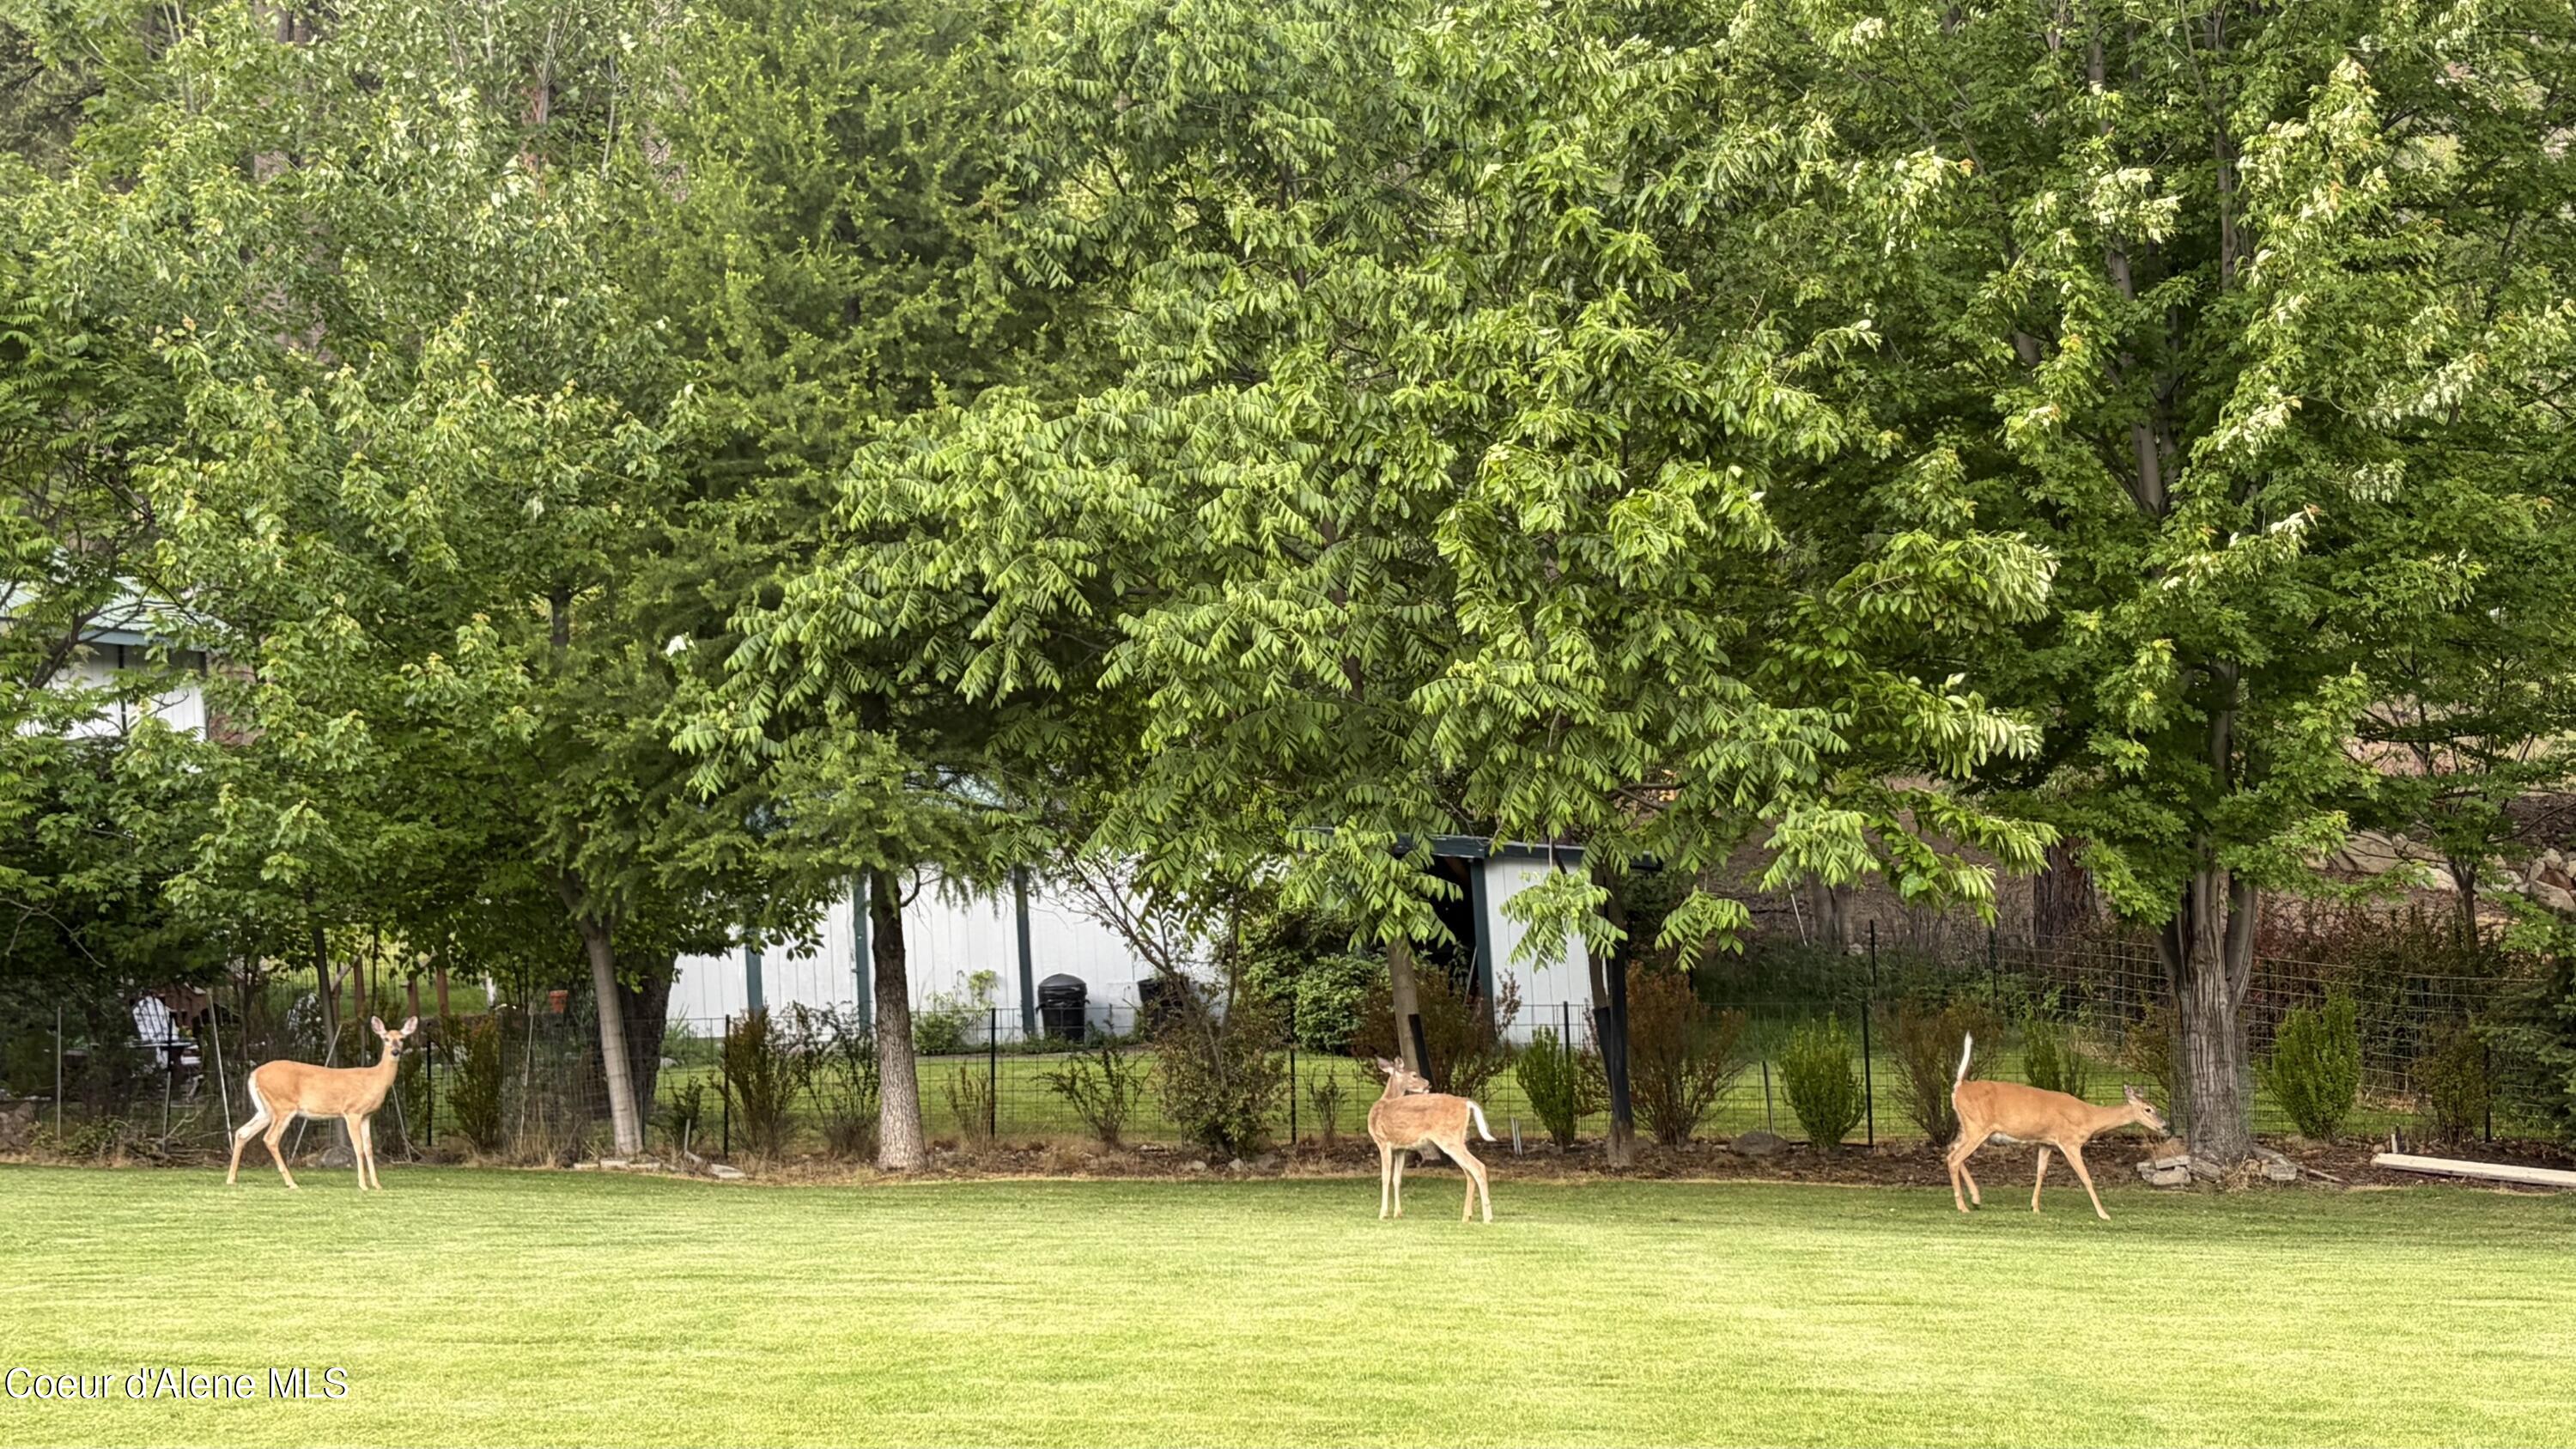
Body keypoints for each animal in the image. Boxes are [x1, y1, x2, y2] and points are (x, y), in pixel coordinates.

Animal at [227, 1015, 417, 1191]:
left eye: (402, 1038)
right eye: (386, 1038)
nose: (395, 1051)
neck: (375, 1079)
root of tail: (255, 1074)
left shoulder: (367, 1115)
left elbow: (369, 1148)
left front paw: (377, 1185)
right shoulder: (352, 1111)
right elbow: (358, 1147)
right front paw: (363, 1185)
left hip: (266, 1110)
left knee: (242, 1132)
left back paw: (231, 1179)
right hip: (283, 1105)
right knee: (270, 1138)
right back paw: (291, 1182)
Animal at [1366, 1057, 1496, 1223]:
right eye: (1414, 1075)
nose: (1428, 1083)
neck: (1385, 1101)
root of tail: (1466, 1102)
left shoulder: (1383, 1142)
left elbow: (1385, 1177)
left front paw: (1383, 1213)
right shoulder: (1401, 1148)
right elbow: (1397, 1178)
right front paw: (1398, 1213)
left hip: (1449, 1138)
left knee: (1478, 1167)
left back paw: (1487, 1217)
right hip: (1457, 1139)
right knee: (1469, 1172)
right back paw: (1467, 1216)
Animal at [1945, 1032, 2168, 1221]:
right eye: (2148, 1109)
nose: (2165, 1125)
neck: (2090, 1117)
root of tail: (1960, 1086)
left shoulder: (2046, 1143)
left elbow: (2041, 1172)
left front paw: (2035, 1206)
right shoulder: (2069, 1141)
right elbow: (2085, 1177)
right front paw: (2104, 1214)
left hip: (1967, 1127)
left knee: (1950, 1151)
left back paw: (1976, 1199)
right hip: (1977, 1126)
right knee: (1955, 1158)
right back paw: (1963, 1206)